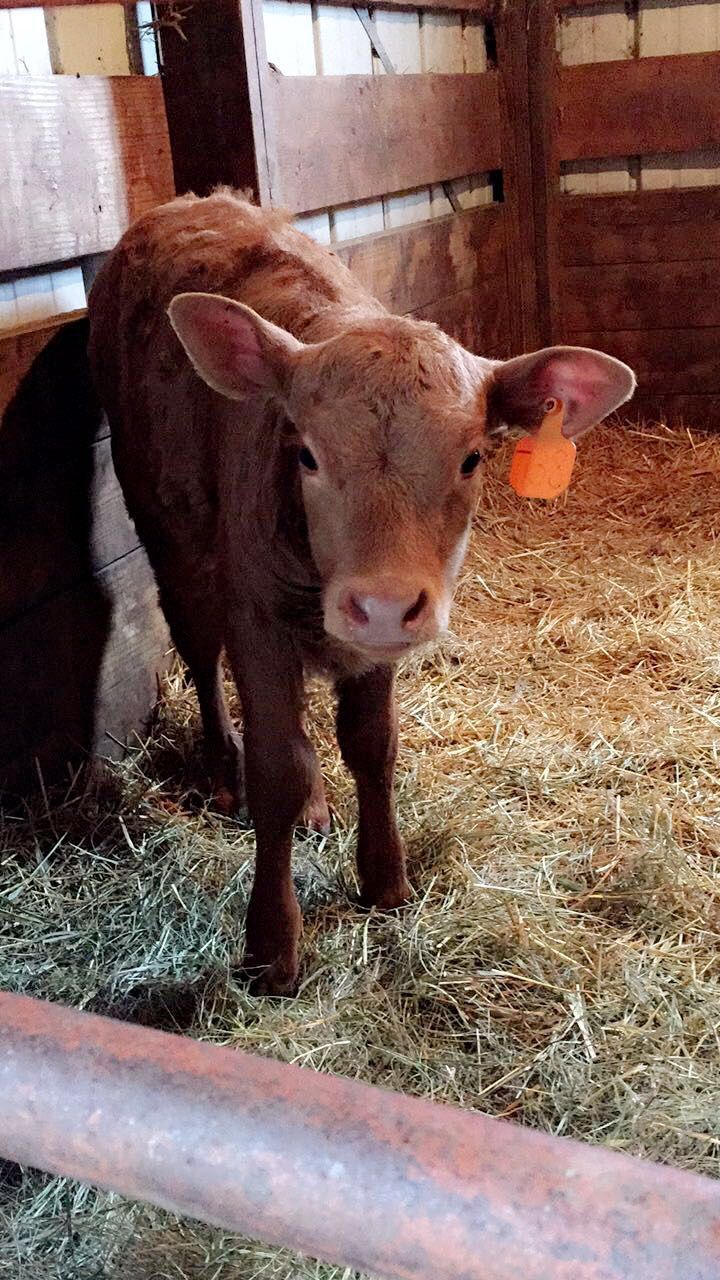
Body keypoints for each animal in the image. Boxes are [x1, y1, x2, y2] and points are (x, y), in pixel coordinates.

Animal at [88, 189, 635, 994]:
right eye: (308, 455)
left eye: (472, 458)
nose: (379, 603)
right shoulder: (258, 615)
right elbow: (277, 768)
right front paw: (272, 943)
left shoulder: (375, 641)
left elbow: (372, 747)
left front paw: (385, 878)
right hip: (166, 530)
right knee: (201, 653)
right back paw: (222, 768)